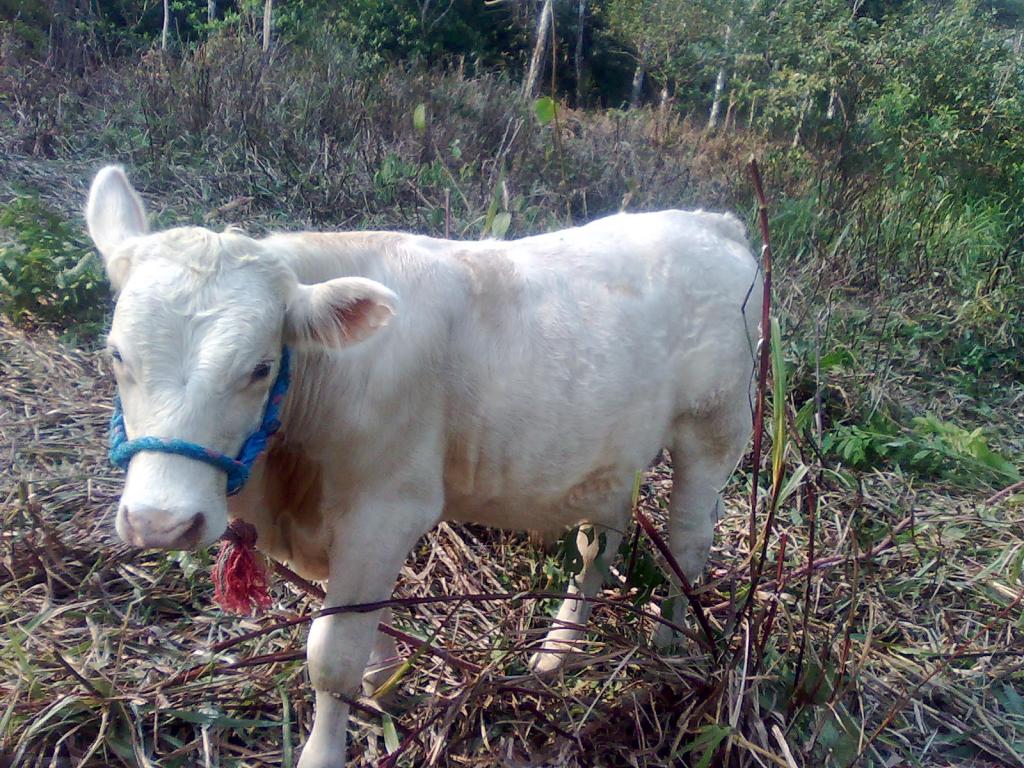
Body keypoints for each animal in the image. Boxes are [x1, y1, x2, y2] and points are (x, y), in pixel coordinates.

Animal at [86, 165, 761, 765]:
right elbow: (369, 629)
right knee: (601, 542)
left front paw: (325, 749)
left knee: (688, 543)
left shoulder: (386, 508)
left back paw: (670, 650)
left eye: (259, 367)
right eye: (116, 353)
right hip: (607, 453)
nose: (160, 524)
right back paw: (556, 653)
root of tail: (712, 223)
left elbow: (332, 656)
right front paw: (385, 689)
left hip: (716, 427)